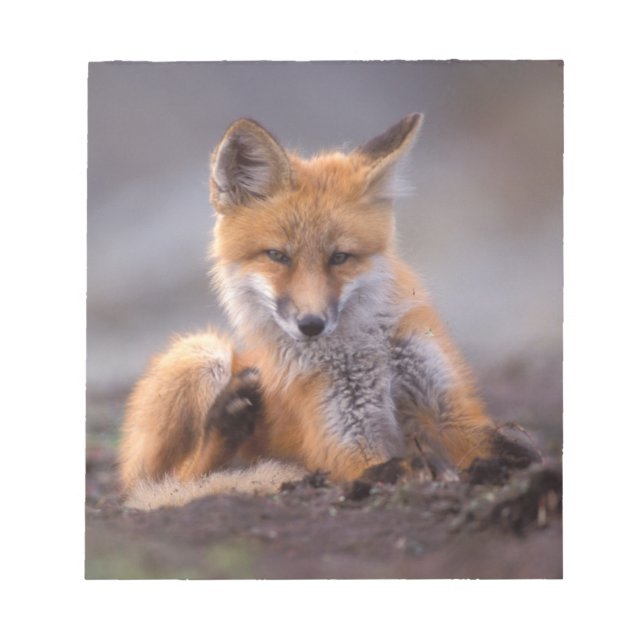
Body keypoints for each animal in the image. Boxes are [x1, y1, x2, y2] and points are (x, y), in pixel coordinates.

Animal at [118, 113, 540, 510]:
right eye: (277, 256)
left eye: (340, 258)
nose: (311, 324)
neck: (365, 349)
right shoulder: (346, 441)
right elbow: (389, 467)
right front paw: (427, 469)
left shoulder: (451, 411)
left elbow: (510, 447)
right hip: (200, 353)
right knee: (172, 480)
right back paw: (226, 424)